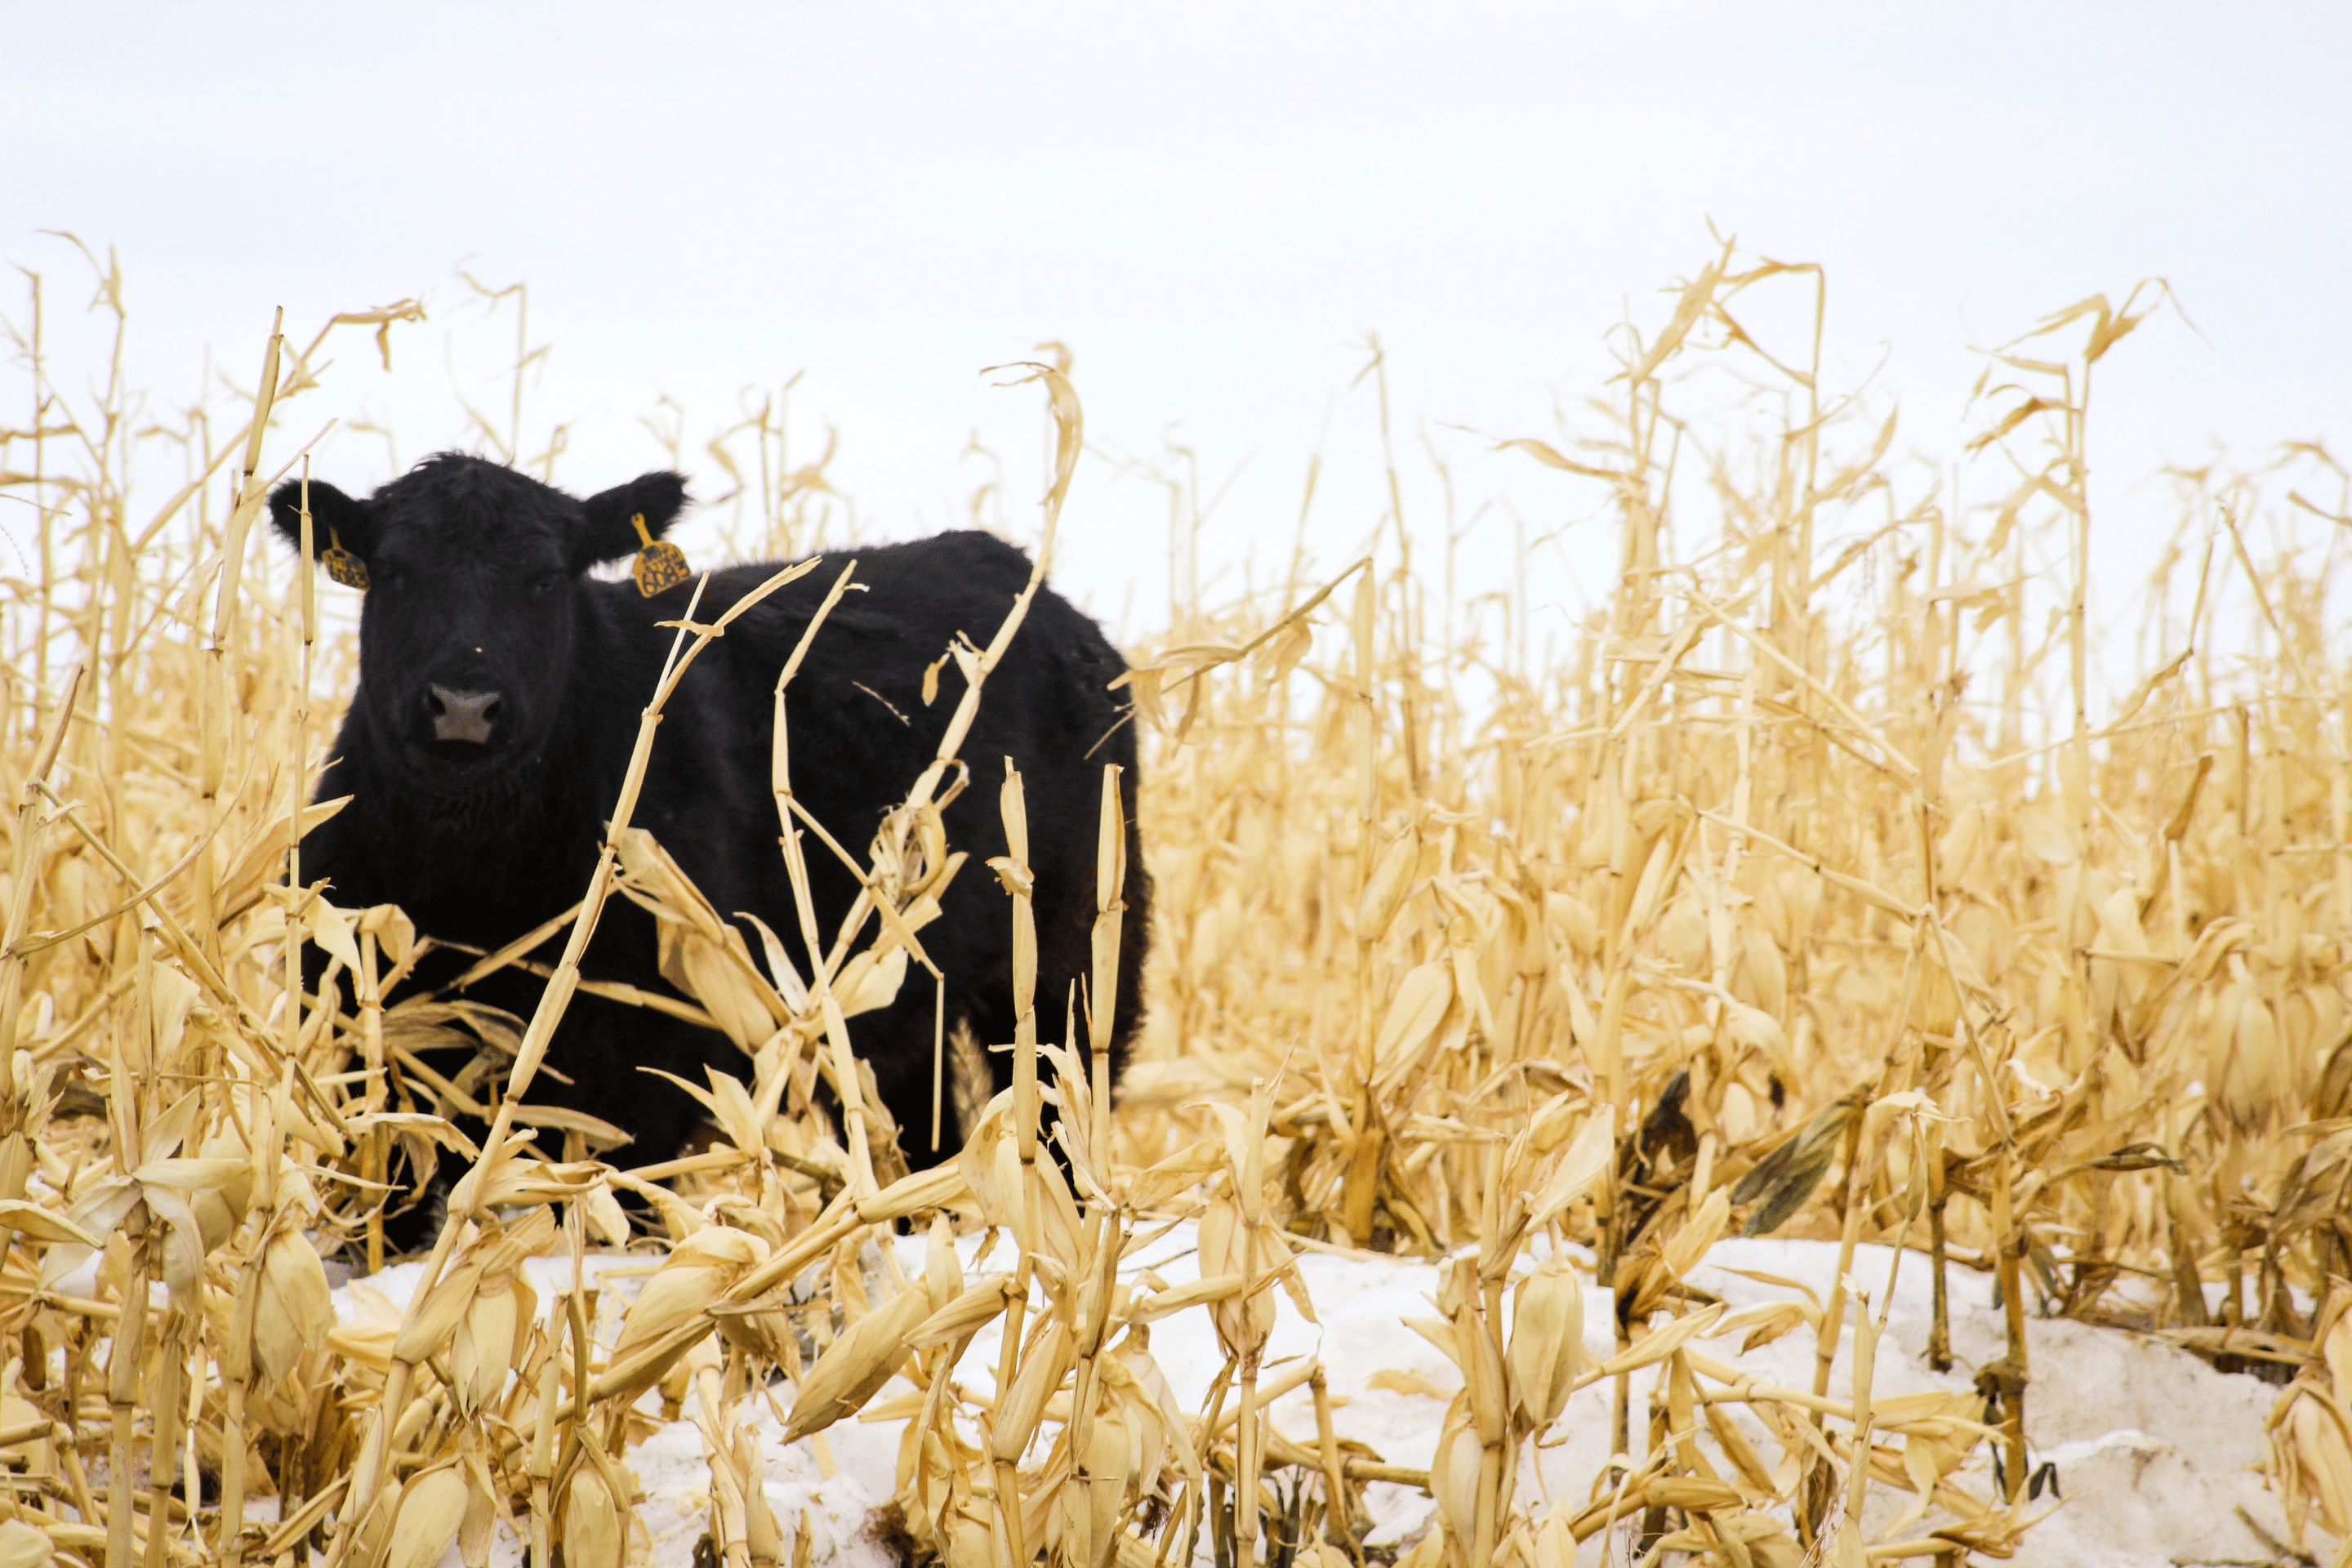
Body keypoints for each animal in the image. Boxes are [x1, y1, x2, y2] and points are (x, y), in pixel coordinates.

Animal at [279, 446, 1143, 1222]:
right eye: (393, 571)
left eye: (546, 576)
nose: (464, 703)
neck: (474, 874)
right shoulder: (376, 1023)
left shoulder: (653, 1046)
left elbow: (613, 1200)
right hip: (896, 998)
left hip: (1072, 959)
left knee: (1060, 1112)